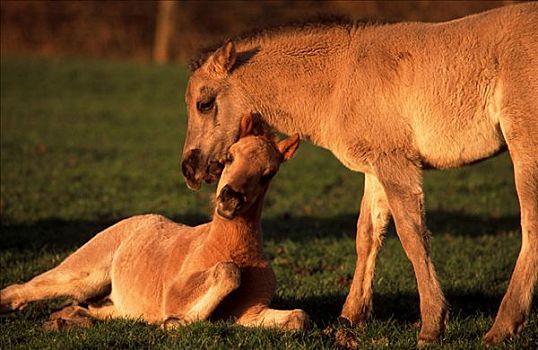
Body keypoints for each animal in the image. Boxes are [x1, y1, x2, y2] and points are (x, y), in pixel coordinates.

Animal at [180, 2, 536, 346]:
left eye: (204, 103)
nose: (189, 169)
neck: (341, 78)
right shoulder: (375, 170)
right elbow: (367, 234)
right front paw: (350, 318)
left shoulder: (396, 164)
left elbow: (412, 236)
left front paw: (432, 326)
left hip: (526, 149)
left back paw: (501, 327)